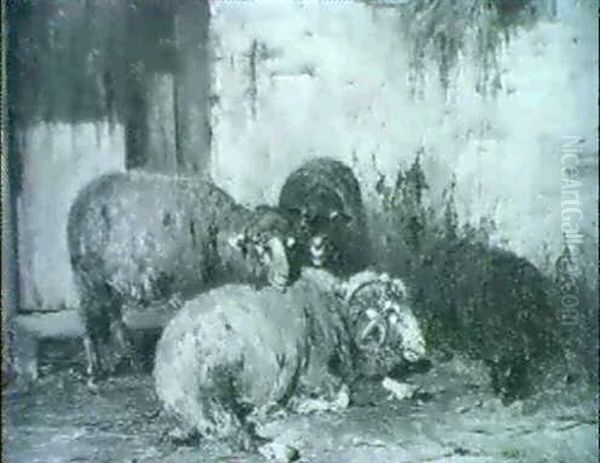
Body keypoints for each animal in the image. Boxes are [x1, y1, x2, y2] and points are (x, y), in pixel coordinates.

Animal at [68, 172, 298, 382]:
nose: (285, 276)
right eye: (262, 245)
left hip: (110, 284)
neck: (216, 234)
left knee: (114, 317)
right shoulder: (187, 289)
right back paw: (94, 369)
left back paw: (133, 360)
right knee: (87, 318)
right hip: (87, 279)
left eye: (287, 245)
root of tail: (82, 196)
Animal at [155, 268, 426, 450]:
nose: (421, 346)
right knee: (225, 422)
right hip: (221, 370)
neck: (335, 313)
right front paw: (303, 404)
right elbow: (343, 397)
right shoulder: (315, 373)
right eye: (391, 312)